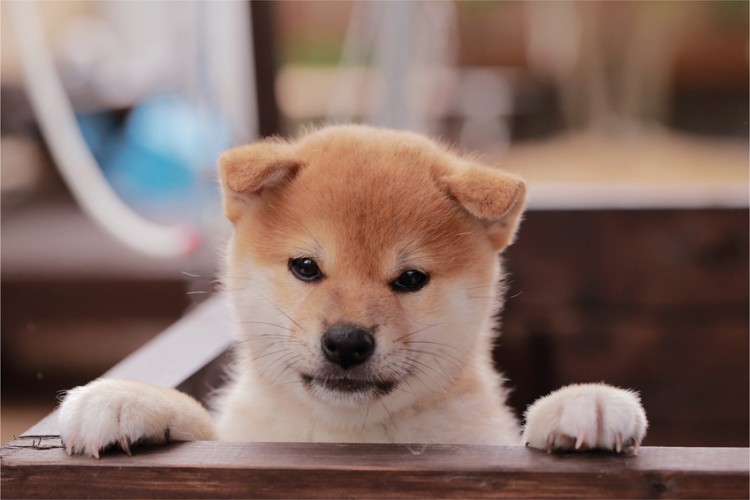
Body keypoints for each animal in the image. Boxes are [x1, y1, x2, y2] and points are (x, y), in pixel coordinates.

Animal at [58, 124, 648, 458]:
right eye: (305, 267)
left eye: (410, 279)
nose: (346, 342)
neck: (347, 438)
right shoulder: (240, 439)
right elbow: (202, 426)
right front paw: (127, 398)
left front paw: (585, 401)